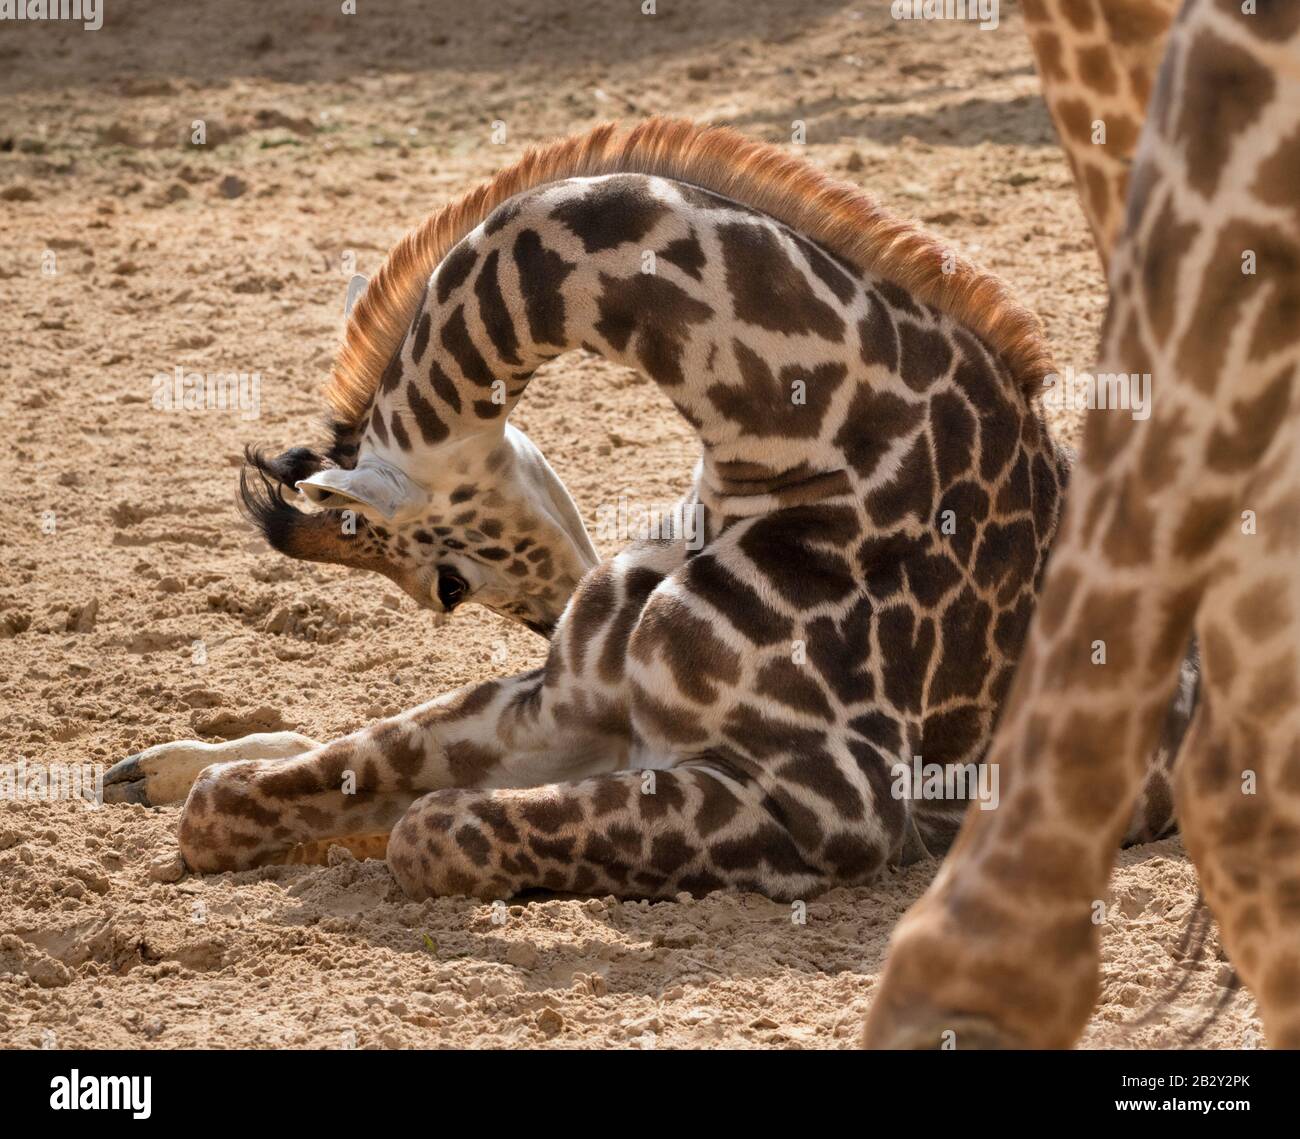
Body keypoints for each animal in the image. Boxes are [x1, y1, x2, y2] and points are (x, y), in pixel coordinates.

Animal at [102, 118, 1101, 899]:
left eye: (443, 585)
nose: (550, 617)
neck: (809, 448)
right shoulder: (567, 703)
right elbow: (233, 810)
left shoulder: (836, 804)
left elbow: (432, 829)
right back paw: (146, 769)